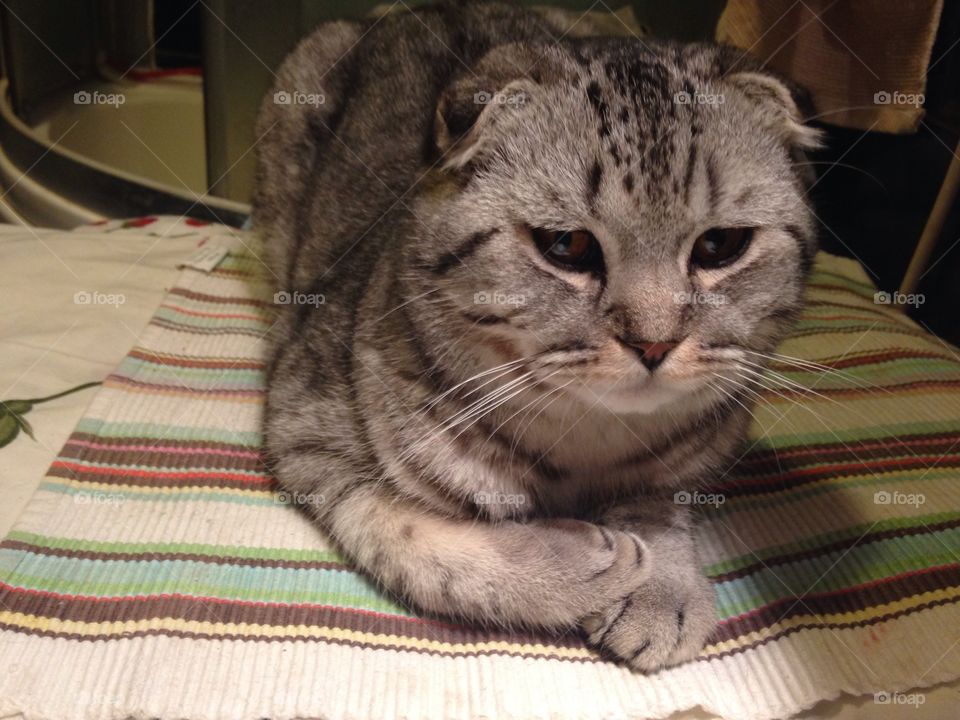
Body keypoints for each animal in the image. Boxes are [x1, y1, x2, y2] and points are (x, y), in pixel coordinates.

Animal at [253, 0, 816, 672]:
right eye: (566, 245)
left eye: (719, 245)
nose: (653, 343)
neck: (587, 446)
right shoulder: (309, 435)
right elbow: (412, 540)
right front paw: (586, 560)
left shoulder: (700, 456)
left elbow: (662, 500)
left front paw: (662, 583)